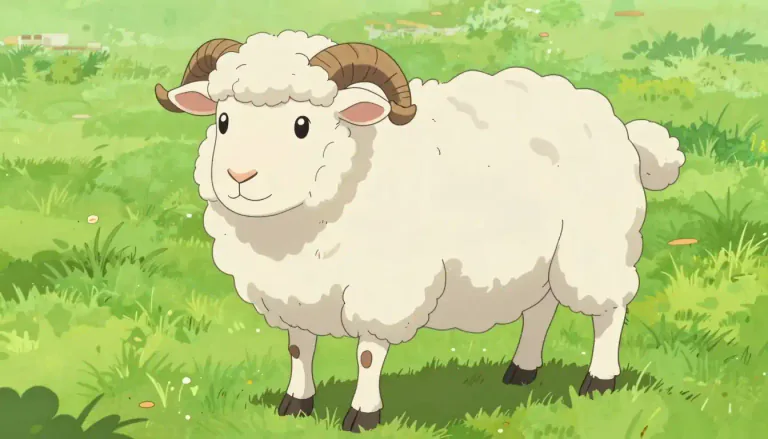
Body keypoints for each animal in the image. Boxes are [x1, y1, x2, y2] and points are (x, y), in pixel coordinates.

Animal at [154, 30, 686, 433]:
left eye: (302, 124)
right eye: (223, 119)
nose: (239, 177)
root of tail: (624, 130)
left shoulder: (382, 289)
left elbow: (369, 357)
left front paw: (362, 415)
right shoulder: (294, 294)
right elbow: (299, 349)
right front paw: (296, 404)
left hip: (593, 245)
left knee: (610, 312)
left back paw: (599, 381)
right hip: (542, 259)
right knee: (541, 311)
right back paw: (522, 371)